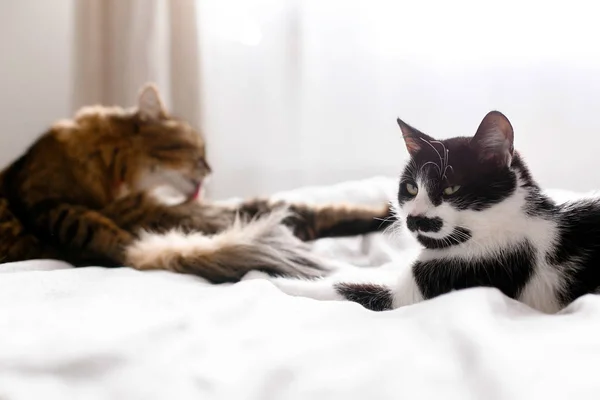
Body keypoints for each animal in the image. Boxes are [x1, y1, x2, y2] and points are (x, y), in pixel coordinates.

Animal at [243, 111, 600, 314]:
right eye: (411, 188)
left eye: (451, 190)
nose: (414, 218)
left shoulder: (461, 277)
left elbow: (344, 289)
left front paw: (262, 278)